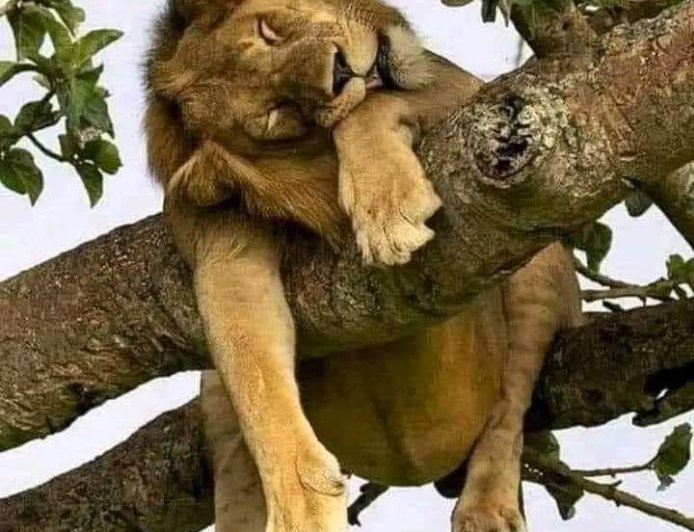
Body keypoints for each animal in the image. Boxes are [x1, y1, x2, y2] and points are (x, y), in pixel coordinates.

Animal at [143, 1, 583, 531]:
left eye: (268, 32)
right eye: (276, 115)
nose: (339, 72)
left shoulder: (474, 99)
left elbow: (368, 108)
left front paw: (386, 208)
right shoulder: (221, 248)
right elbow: (258, 382)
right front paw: (305, 509)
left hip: (540, 268)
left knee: (509, 406)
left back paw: (486, 508)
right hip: (215, 392)